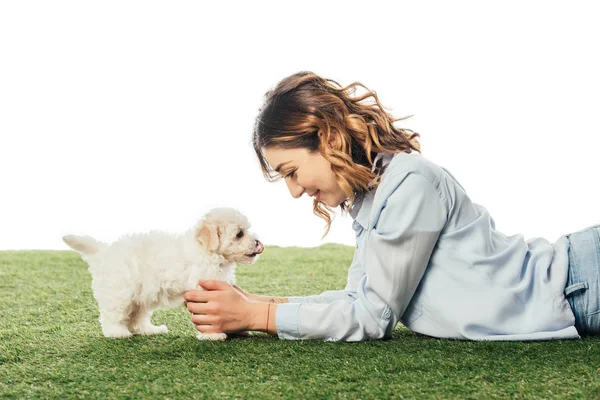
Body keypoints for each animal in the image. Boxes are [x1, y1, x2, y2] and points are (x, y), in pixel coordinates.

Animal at [61, 206, 264, 340]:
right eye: (239, 234)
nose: (257, 242)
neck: (208, 251)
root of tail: (104, 252)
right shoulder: (202, 287)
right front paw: (213, 335)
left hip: (140, 296)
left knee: (137, 318)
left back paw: (150, 330)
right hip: (121, 292)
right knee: (112, 315)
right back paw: (117, 333)